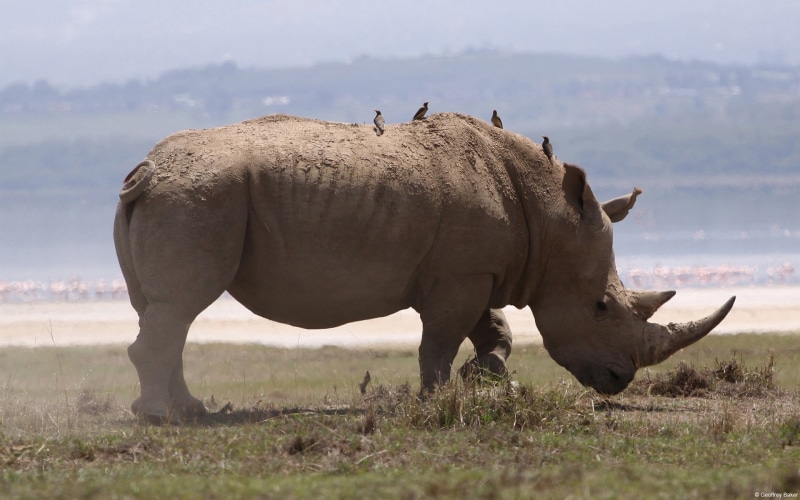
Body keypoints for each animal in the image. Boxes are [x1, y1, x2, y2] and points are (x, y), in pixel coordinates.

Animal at [114, 113, 734, 420]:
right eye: (601, 307)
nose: (618, 380)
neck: (550, 214)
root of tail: (145, 168)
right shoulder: (459, 278)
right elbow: (438, 341)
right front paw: (437, 400)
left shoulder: (475, 271)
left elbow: (493, 328)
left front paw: (487, 376)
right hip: (199, 198)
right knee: (181, 307)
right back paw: (162, 418)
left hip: (182, 197)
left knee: (165, 312)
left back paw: (187, 410)